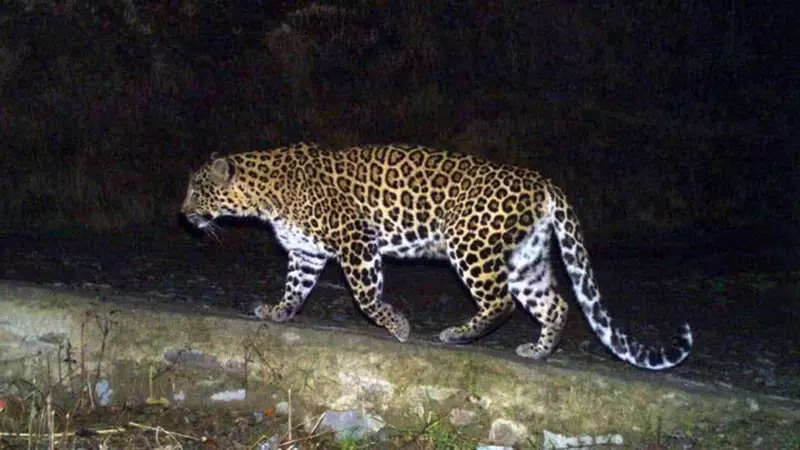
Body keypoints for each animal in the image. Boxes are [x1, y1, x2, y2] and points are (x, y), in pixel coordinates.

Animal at [181, 142, 692, 370]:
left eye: (196, 190)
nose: (183, 214)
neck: (263, 194)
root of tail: (542, 181)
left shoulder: (355, 239)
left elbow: (366, 296)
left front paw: (398, 326)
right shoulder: (306, 253)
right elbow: (295, 289)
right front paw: (278, 312)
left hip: (470, 244)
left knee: (501, 302)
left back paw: (457, 335)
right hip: (525, 259)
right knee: (556, 304)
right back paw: (538, 351)